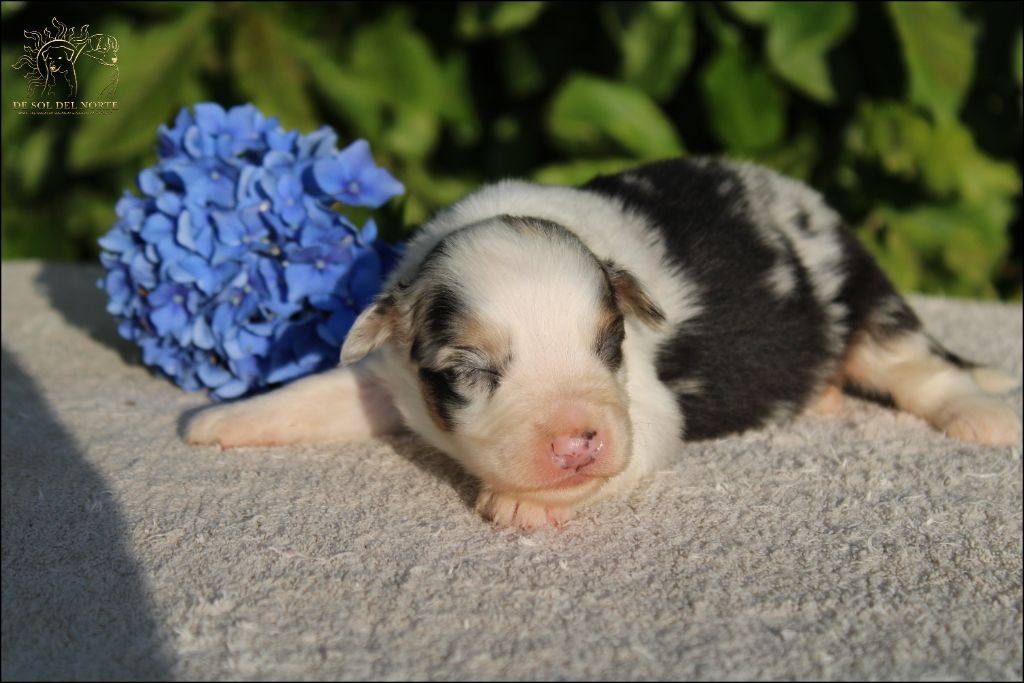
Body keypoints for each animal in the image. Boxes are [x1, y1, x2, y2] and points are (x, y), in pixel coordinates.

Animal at [188, 157, 1019, 532]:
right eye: (470, 370)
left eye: (610, 343)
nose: (577, 440)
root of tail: (810, 203)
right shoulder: (391, 371)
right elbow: (328, 389)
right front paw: (223, 419)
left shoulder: (646, 405)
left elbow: (631, 444)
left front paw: (524, 502)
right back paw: (821, 397)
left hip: (869, 302)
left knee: (923, 367)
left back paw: (982, 414)